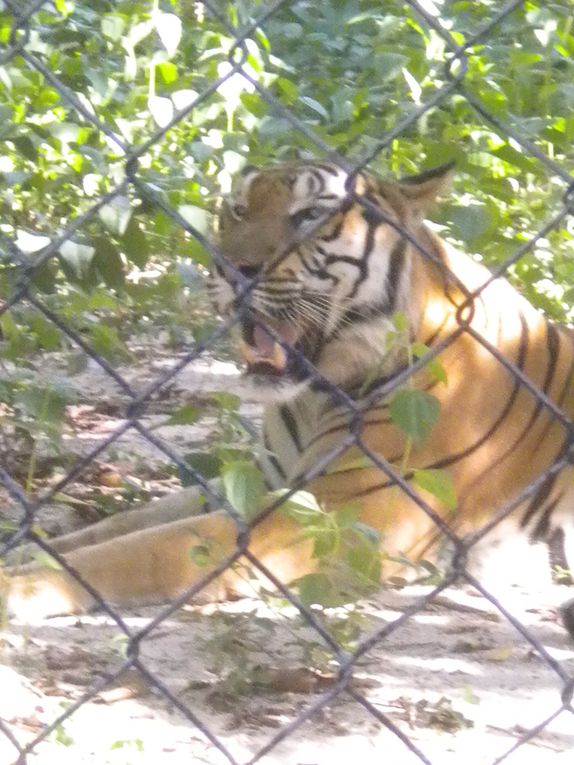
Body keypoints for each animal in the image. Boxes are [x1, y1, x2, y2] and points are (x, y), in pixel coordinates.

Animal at [3, 158, 574, 636]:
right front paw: (21, 552)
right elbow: (120, 525)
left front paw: (20, 586)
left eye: (310, 216)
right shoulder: (261, 478)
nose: (230, 268)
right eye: (237, 210)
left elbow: (148, 548)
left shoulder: (340, 515)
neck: (312, 395)